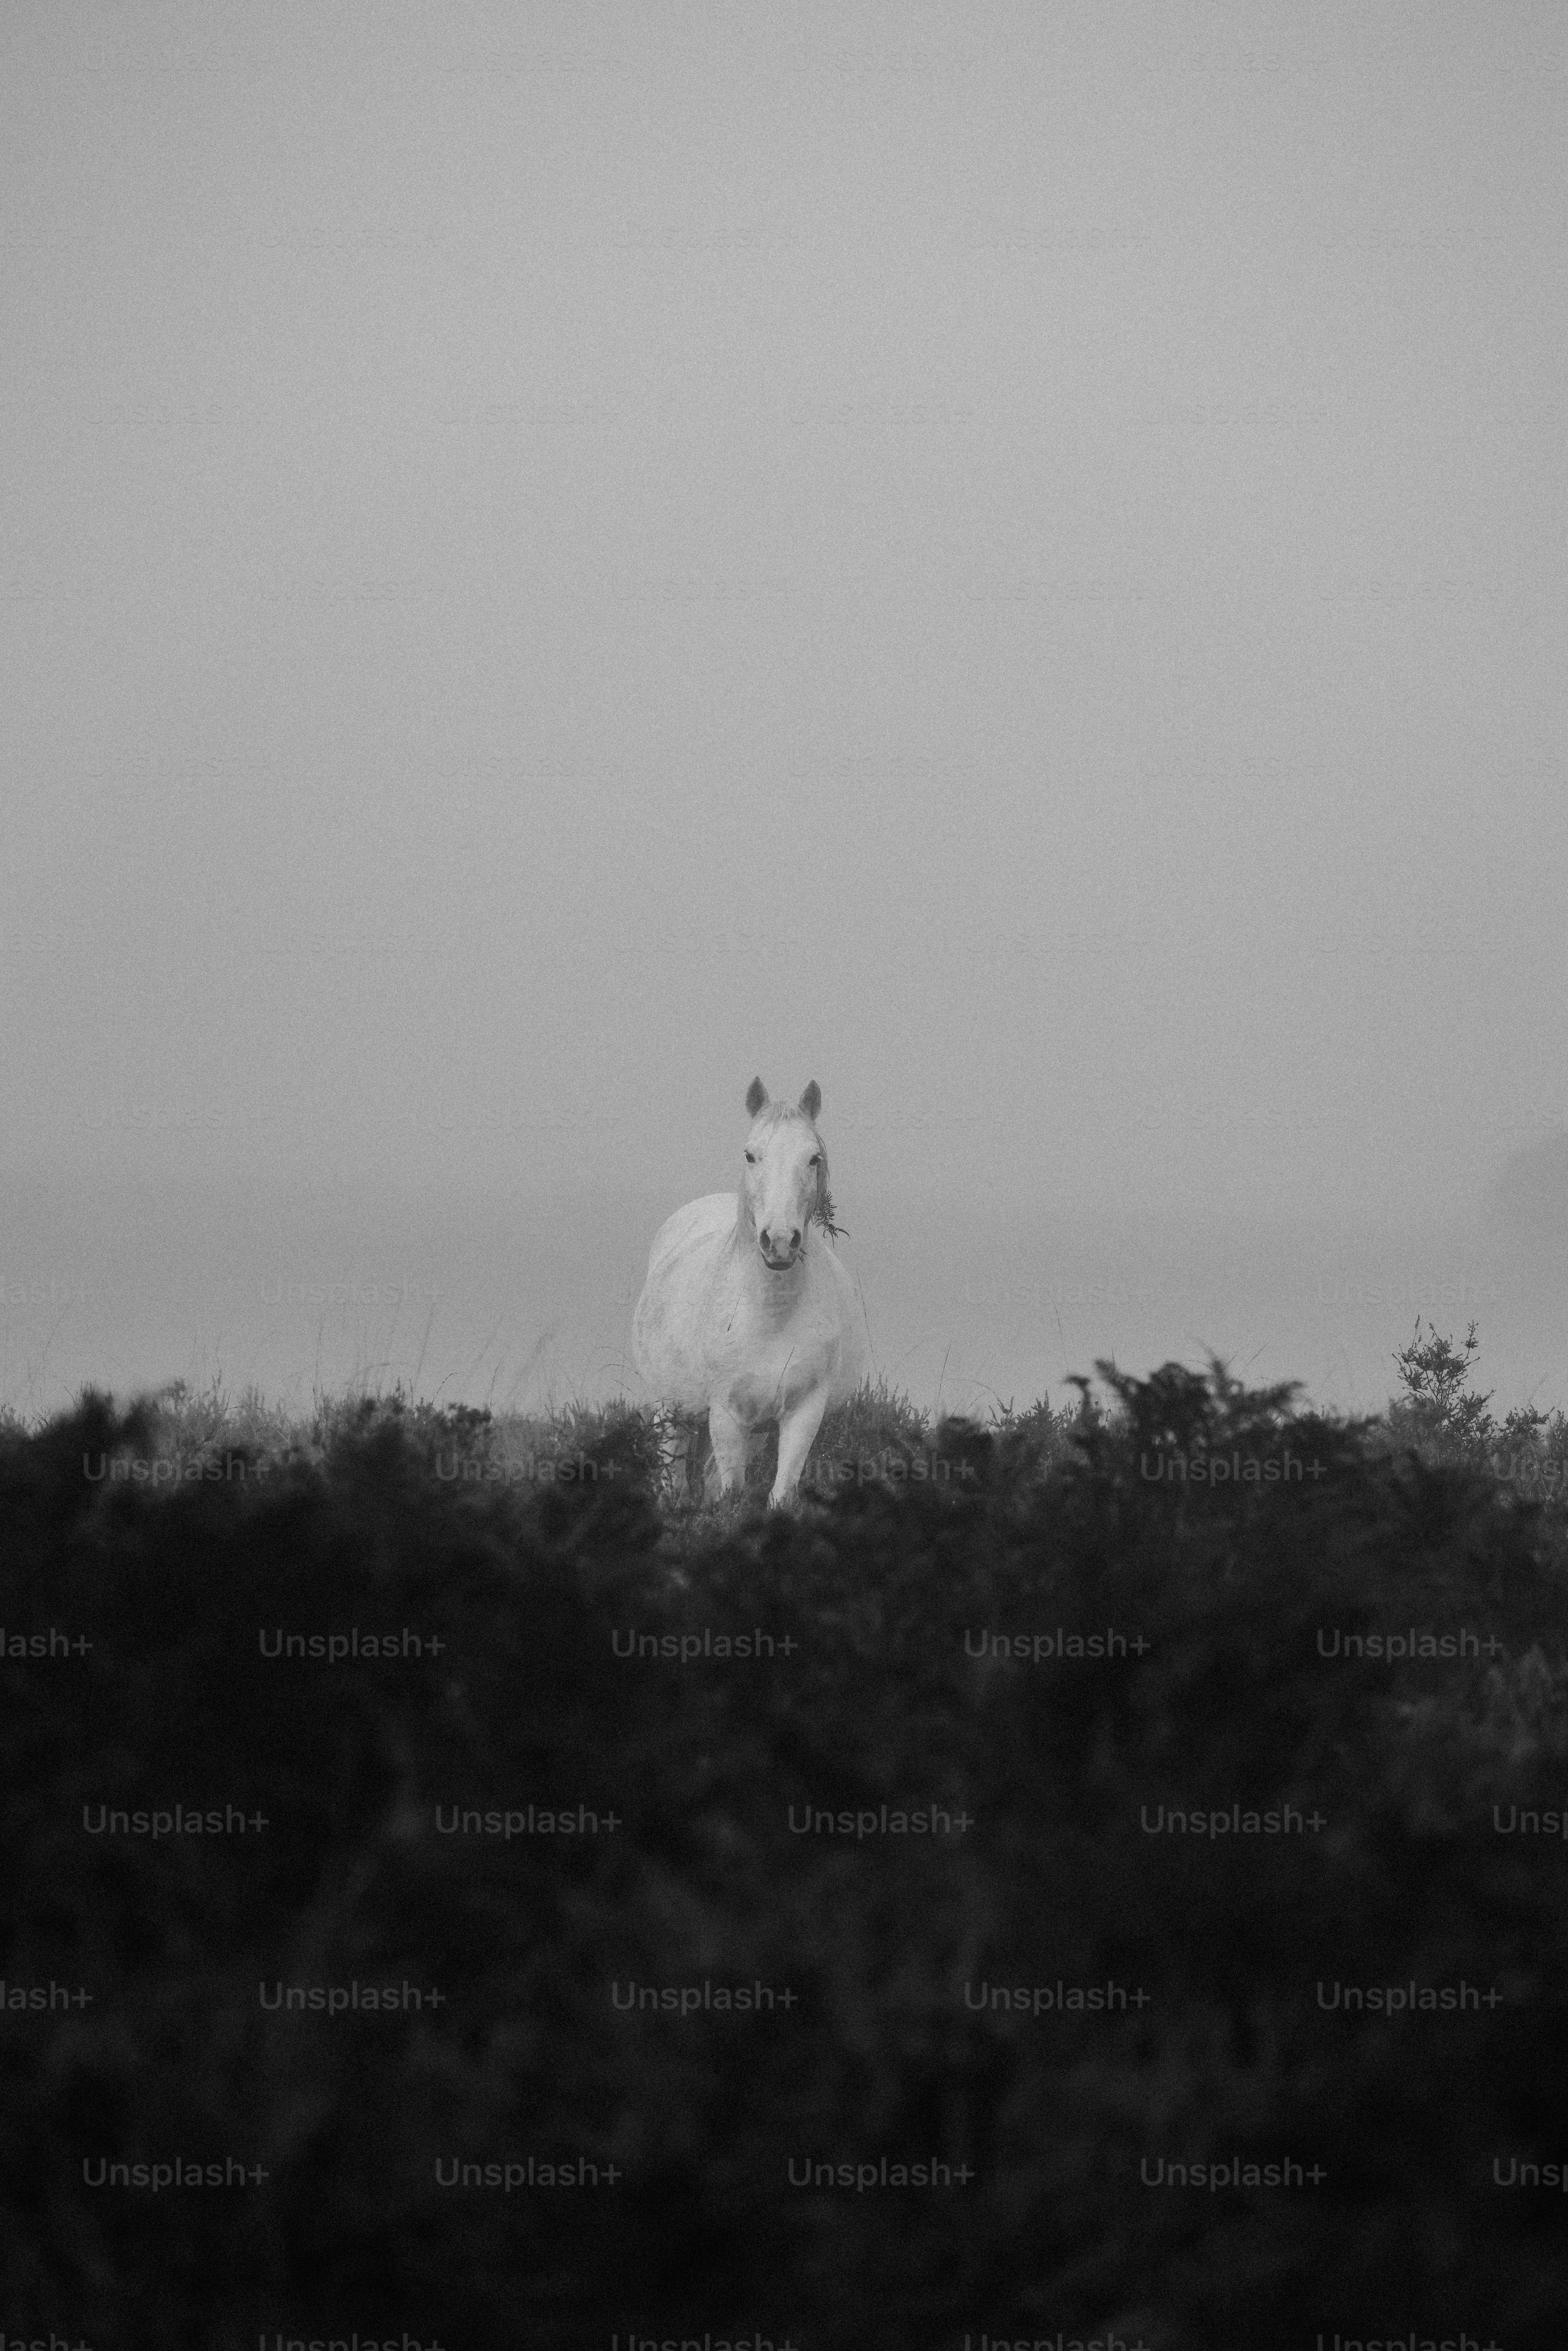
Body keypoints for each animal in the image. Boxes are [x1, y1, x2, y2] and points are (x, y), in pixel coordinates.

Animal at [631, 1077, 868, 1508]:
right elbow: (732, 1492)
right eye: (750, 1155)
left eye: (814, 1157)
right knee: (673, 1476)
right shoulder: (725, 1412)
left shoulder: (802, 1412)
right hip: (669, 1406)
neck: (771, 1314)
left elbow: (780, 1492)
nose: (780, 1242)